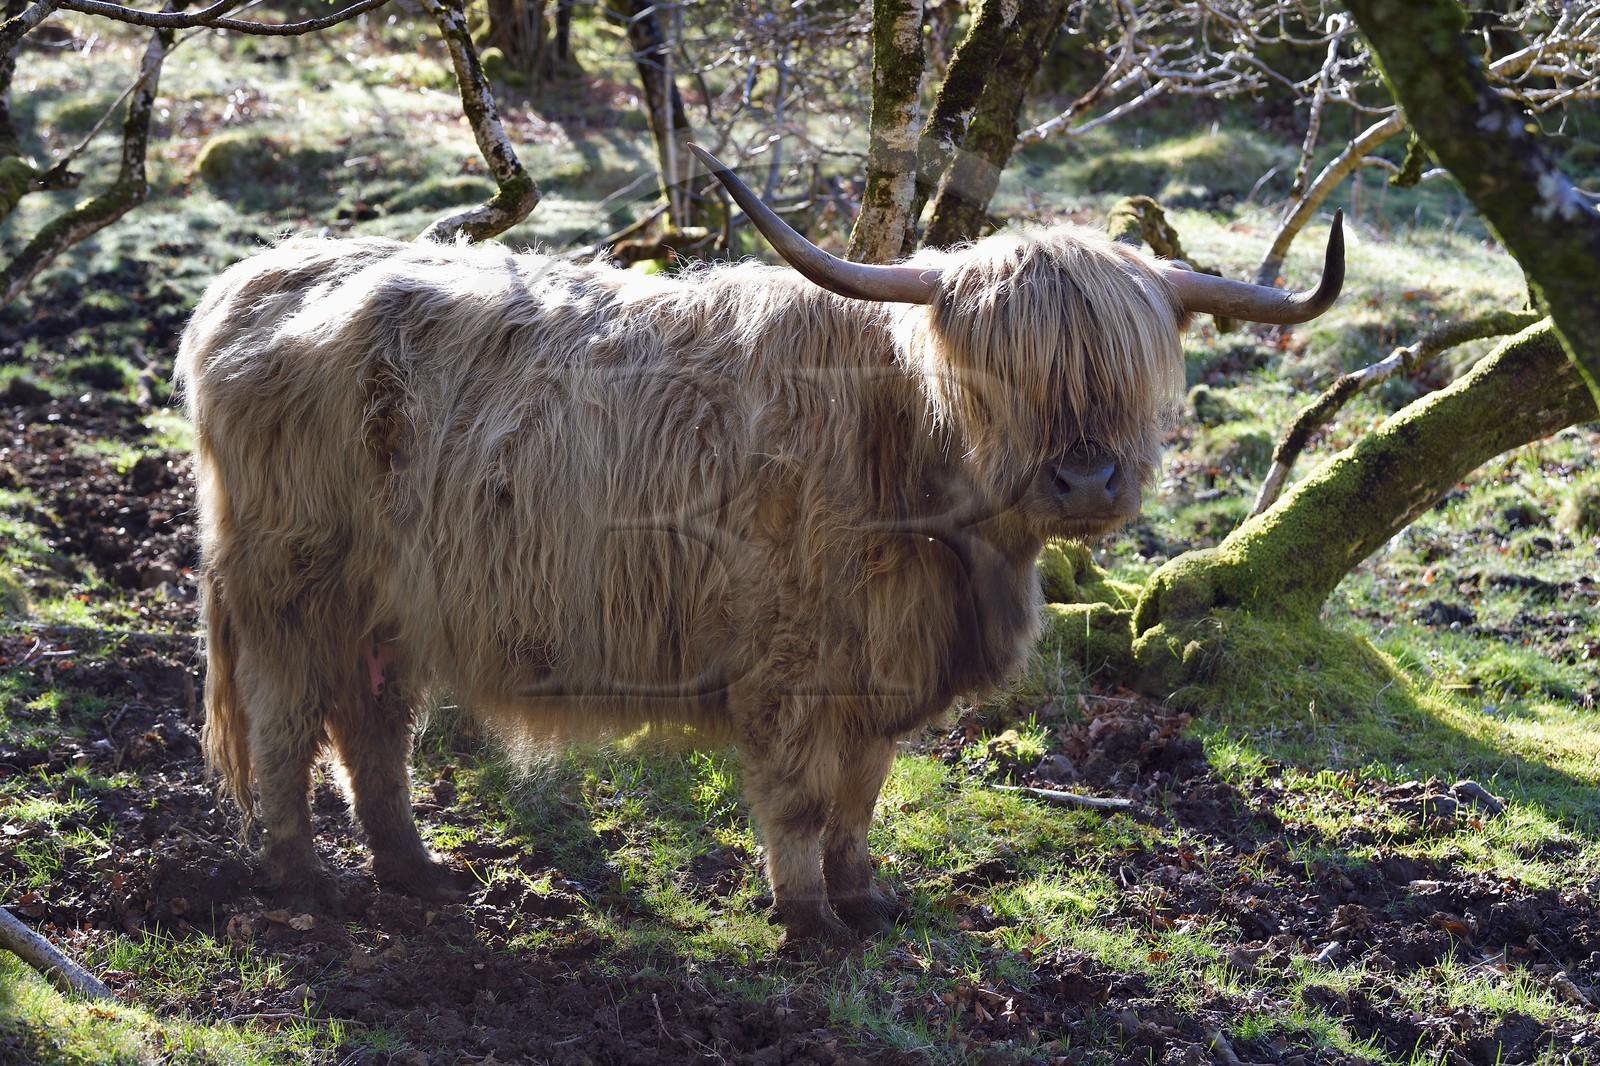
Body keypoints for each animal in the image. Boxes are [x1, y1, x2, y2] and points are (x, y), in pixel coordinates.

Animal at [176, 145, 1342, 944]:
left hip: (387, 602)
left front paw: (863, 897)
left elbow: (862, 793)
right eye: (995, 373)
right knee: (288, 724)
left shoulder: (878, 673)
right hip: (291, 586)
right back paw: (302, 877)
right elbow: (800, 795)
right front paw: (807, 917)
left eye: (1135, 368)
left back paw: (415, 870)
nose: (1087, 478)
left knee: (373, 726)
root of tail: (259, 278)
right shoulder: (790, 664)